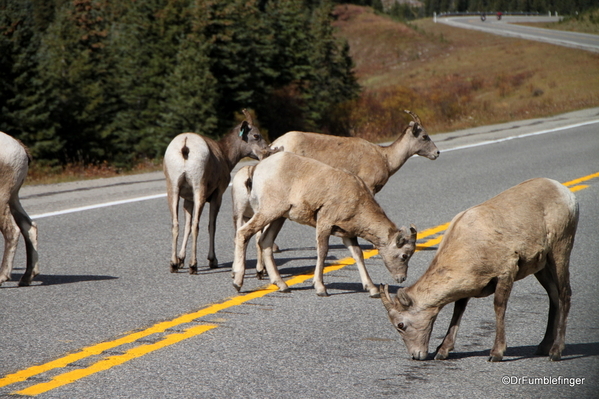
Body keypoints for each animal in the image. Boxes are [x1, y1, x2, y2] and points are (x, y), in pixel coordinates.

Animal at [166, 112, 274, 276]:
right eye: (256, 135)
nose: (266, 152)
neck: (226, 156)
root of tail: (185, 145)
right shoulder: (217, 195)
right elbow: (211, 225)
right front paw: (212, 260)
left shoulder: (187, 199)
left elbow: (186, 226)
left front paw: (180, 260)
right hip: (199, 187)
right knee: (196, 225)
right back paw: (193, 265)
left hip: (173, 187)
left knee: (175, 224)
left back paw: (173, 264)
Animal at [231, 153, 418, 296]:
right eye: (404, 255)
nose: (401, 278)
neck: (357, 199)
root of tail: (256, 169)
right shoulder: (324, 224)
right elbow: (322, 252)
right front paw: (321, 288)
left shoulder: (347, 234)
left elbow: (358, 254)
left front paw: (372, 289)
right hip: (269, 211)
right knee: (243, 233)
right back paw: (237, 282)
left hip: (279, 217)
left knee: (265, 242)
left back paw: (282, 286)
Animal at [382, 178, 580, 362]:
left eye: (401, 325)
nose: (416, 355)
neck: (469, 245)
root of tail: (565, 192)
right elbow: (458, 310)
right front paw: (442, 351)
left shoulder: (506, 273)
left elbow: (499, 307)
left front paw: (496, 353)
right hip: (542, 267)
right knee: (554, 296)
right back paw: (543, 347)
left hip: (560, 250)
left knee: (565, 294)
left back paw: (555, 352)